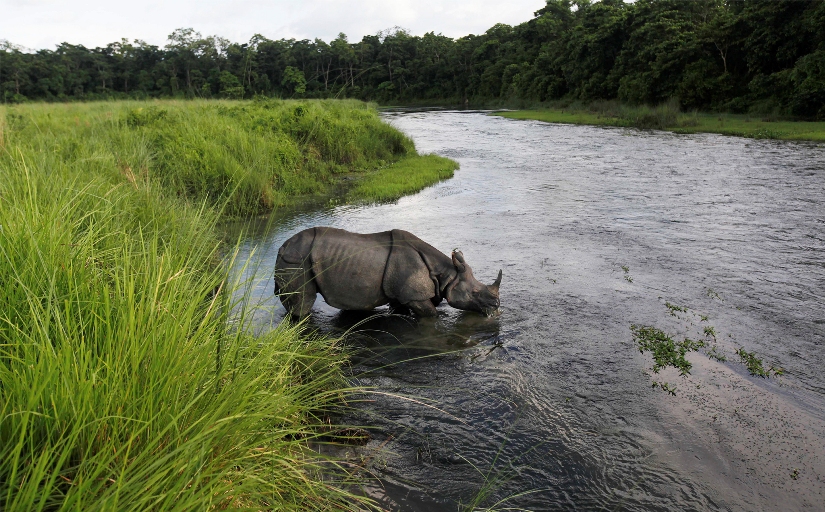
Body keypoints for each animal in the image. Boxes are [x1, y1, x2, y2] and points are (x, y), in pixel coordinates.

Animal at [274, 227, 498, 318]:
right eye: (474, 293)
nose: (496, 305)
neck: (445, 274)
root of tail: (282, 247)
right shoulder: (414, 296)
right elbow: (432, 315)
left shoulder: (401, 294)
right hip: (296, 260)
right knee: (302, 303)